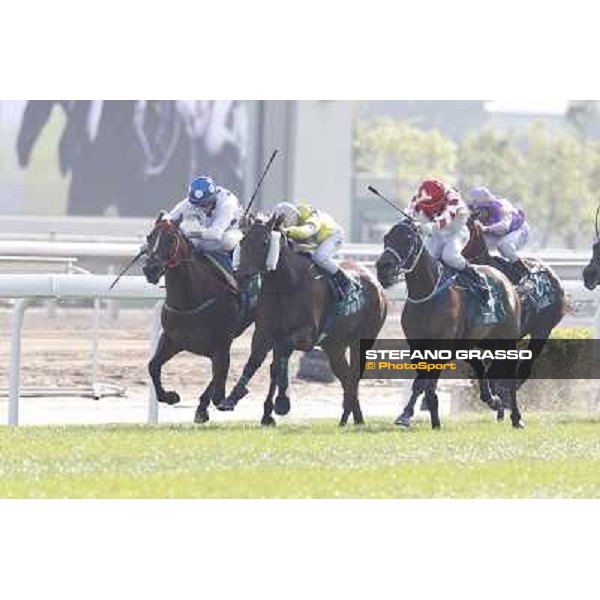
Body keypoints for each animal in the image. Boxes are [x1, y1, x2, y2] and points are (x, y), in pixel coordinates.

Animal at [145, 213, 260, 424]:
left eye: (171, 239)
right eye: (149, 237)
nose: (150, 269)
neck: (190, 299)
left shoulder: (221, 344)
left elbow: (218, 385)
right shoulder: (173, 339)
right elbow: (153, 366)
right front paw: (171, 396)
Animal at [378, 218, 528, 428]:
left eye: (407, 239)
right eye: (386, 238)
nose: (383, 268)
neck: (427, 293)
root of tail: (505, 280)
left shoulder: (441, 346)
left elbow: (425, 383)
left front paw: (424, 418)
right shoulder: (418, 345)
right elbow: (421, 383)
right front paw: (409, 415)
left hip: (507, 338)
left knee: (510, 376)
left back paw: (516, 417)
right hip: (474, 341)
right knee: (479, 364)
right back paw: (492, 400)